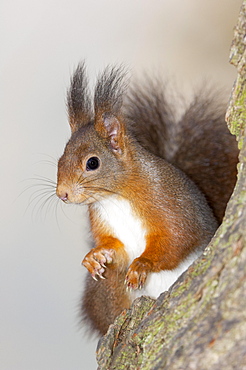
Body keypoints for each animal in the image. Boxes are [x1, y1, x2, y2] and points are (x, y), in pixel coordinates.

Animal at [56, 62, 238, 334]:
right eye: (60, 159)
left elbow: (177, 239)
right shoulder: (104, 222)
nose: (62, 193)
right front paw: (94, 256)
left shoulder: (170, 204)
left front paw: (142, 264)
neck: (115, 198)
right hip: (109, 292)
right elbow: (116, 250)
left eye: (92, 163)